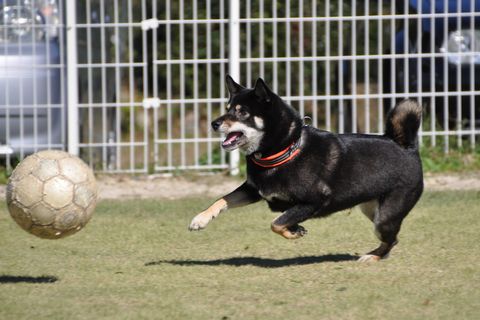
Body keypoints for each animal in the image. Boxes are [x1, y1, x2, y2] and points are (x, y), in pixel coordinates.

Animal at [189, 75, 422, 262]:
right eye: (228, 109)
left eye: (242, 112)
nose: (214, 123)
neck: (284, 151)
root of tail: (406, 146)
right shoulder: (254, 190)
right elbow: (222, 199)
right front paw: (200, 219)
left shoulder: (314, 201)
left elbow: (276, 223)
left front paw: (294, 231)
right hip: (371, 208)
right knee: (393, 239)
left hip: (384, 217)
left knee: (391, 238)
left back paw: (373, 256)